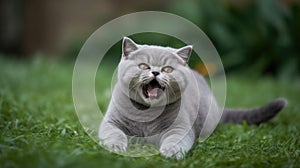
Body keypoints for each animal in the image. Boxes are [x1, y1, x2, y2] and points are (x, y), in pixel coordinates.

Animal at [98, 36, 286, 159]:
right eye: (144, 66)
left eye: (167, 69)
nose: (156, 72)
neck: (147, 114)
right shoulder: (112, 122)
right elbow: (114, 134)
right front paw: (115, 147)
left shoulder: (179, 127)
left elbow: (175, 139)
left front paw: (171, 153)